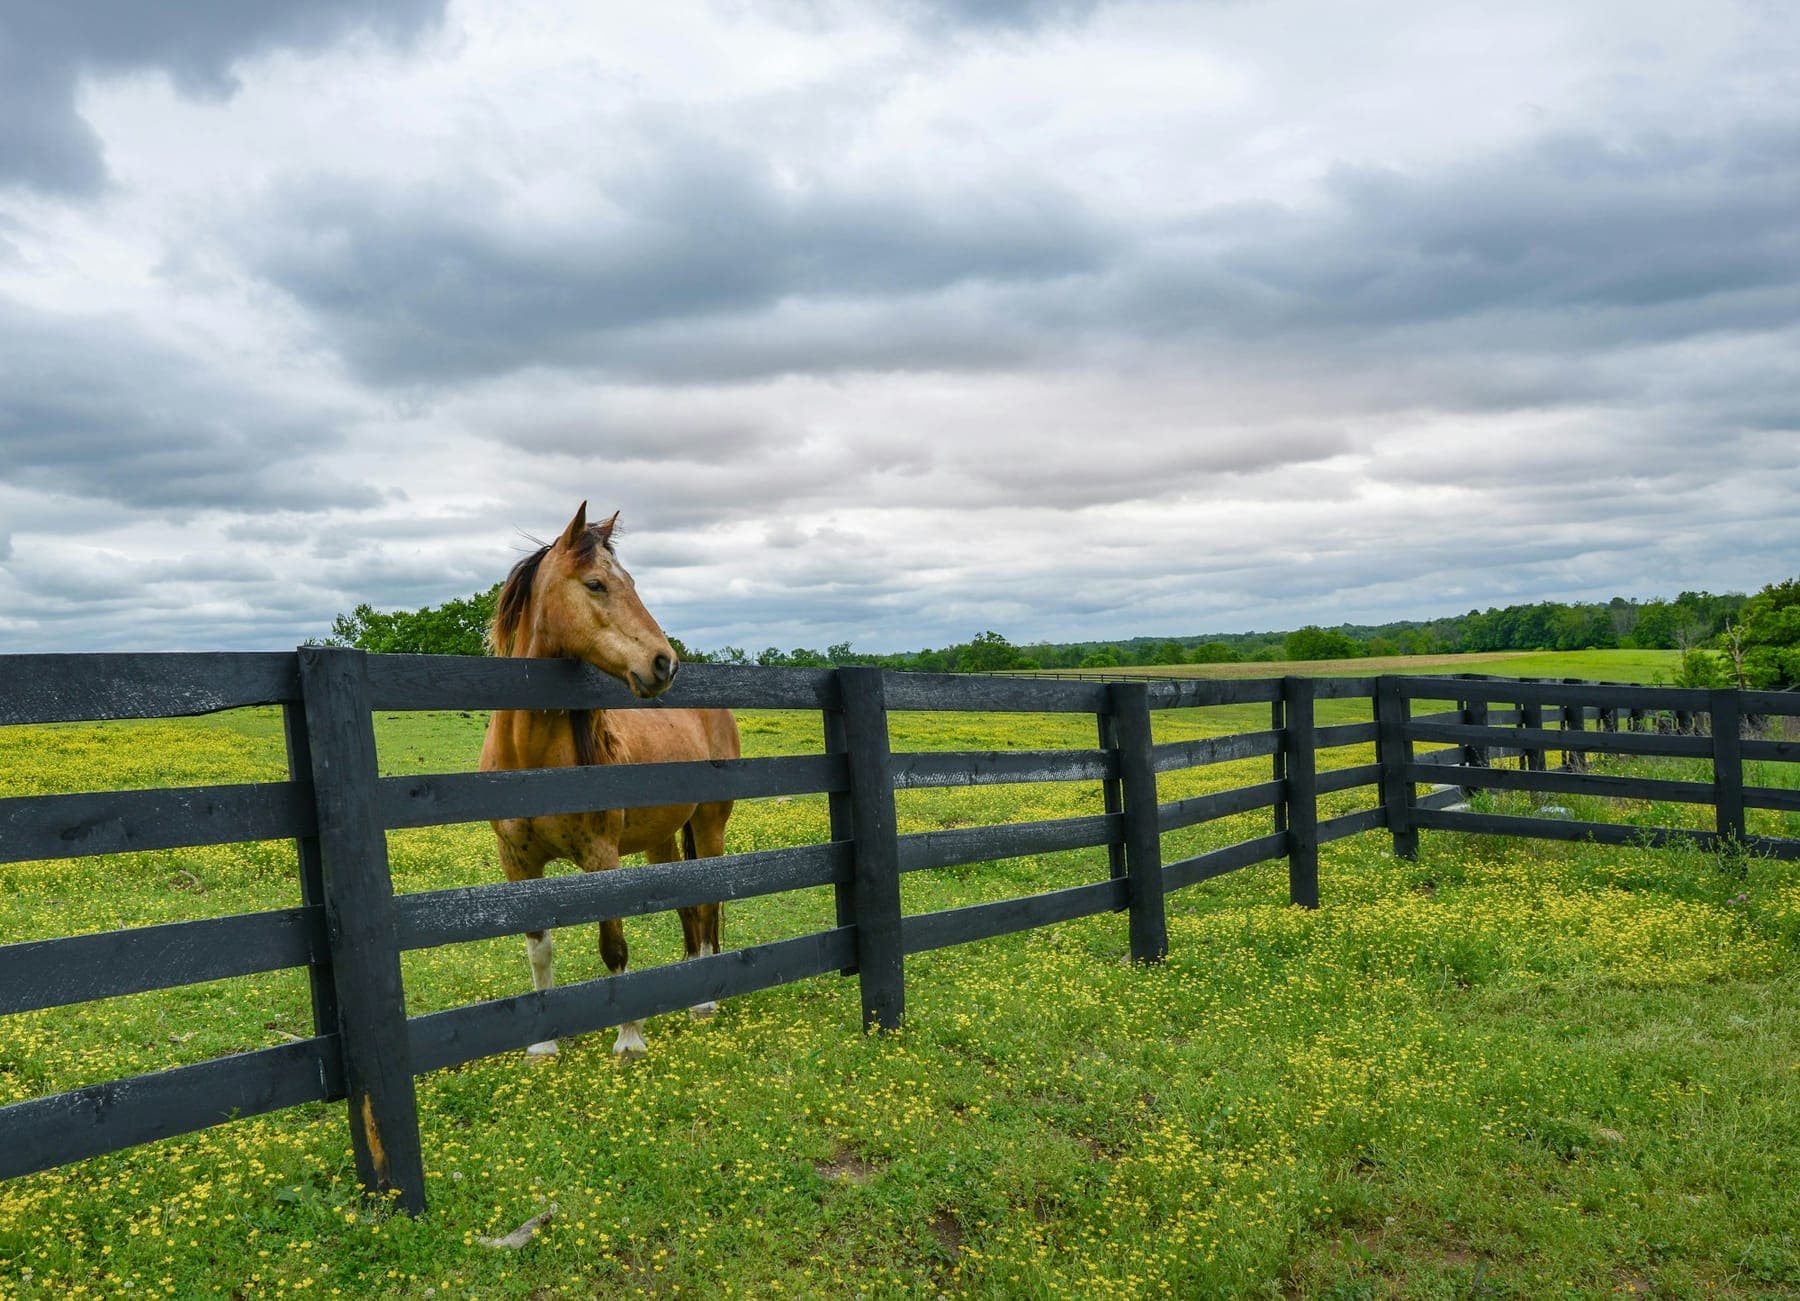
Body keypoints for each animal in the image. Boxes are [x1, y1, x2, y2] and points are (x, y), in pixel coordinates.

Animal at [479, 502, 740, 1056]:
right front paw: (542, 1047)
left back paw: (705, 1000)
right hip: (662, 838)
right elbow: (538, 949)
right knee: (687, 906)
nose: (665, 663)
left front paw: (629, 1039)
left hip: (710, 826)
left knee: (707, 903)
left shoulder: (601, 857)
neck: (531, 759)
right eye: (596, 584)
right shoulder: (517, 864)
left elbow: (614, 946)